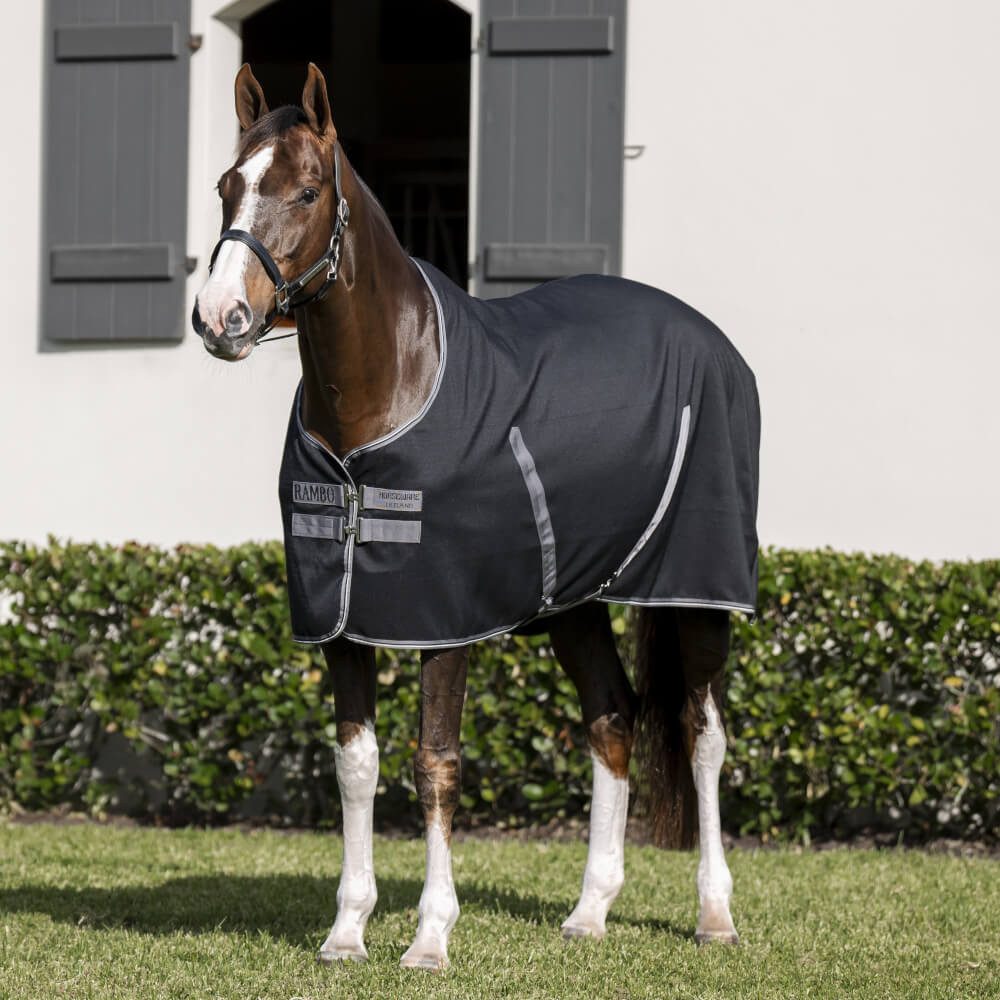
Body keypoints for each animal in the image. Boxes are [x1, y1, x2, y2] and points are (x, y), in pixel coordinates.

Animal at [192, 63, 759, 971]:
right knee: (613, 718)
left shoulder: (443, 622)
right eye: (226, 186)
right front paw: (347, 931)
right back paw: (590, 912)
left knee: (702, 732)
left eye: (308, 190)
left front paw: (429, 937)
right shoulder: (341, 620)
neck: (389, 392)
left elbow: (436, 764)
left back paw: (714, 915)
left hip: (695, 590)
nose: (221, 319)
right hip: (576, 603)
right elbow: (357, 765)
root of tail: (714, 343)